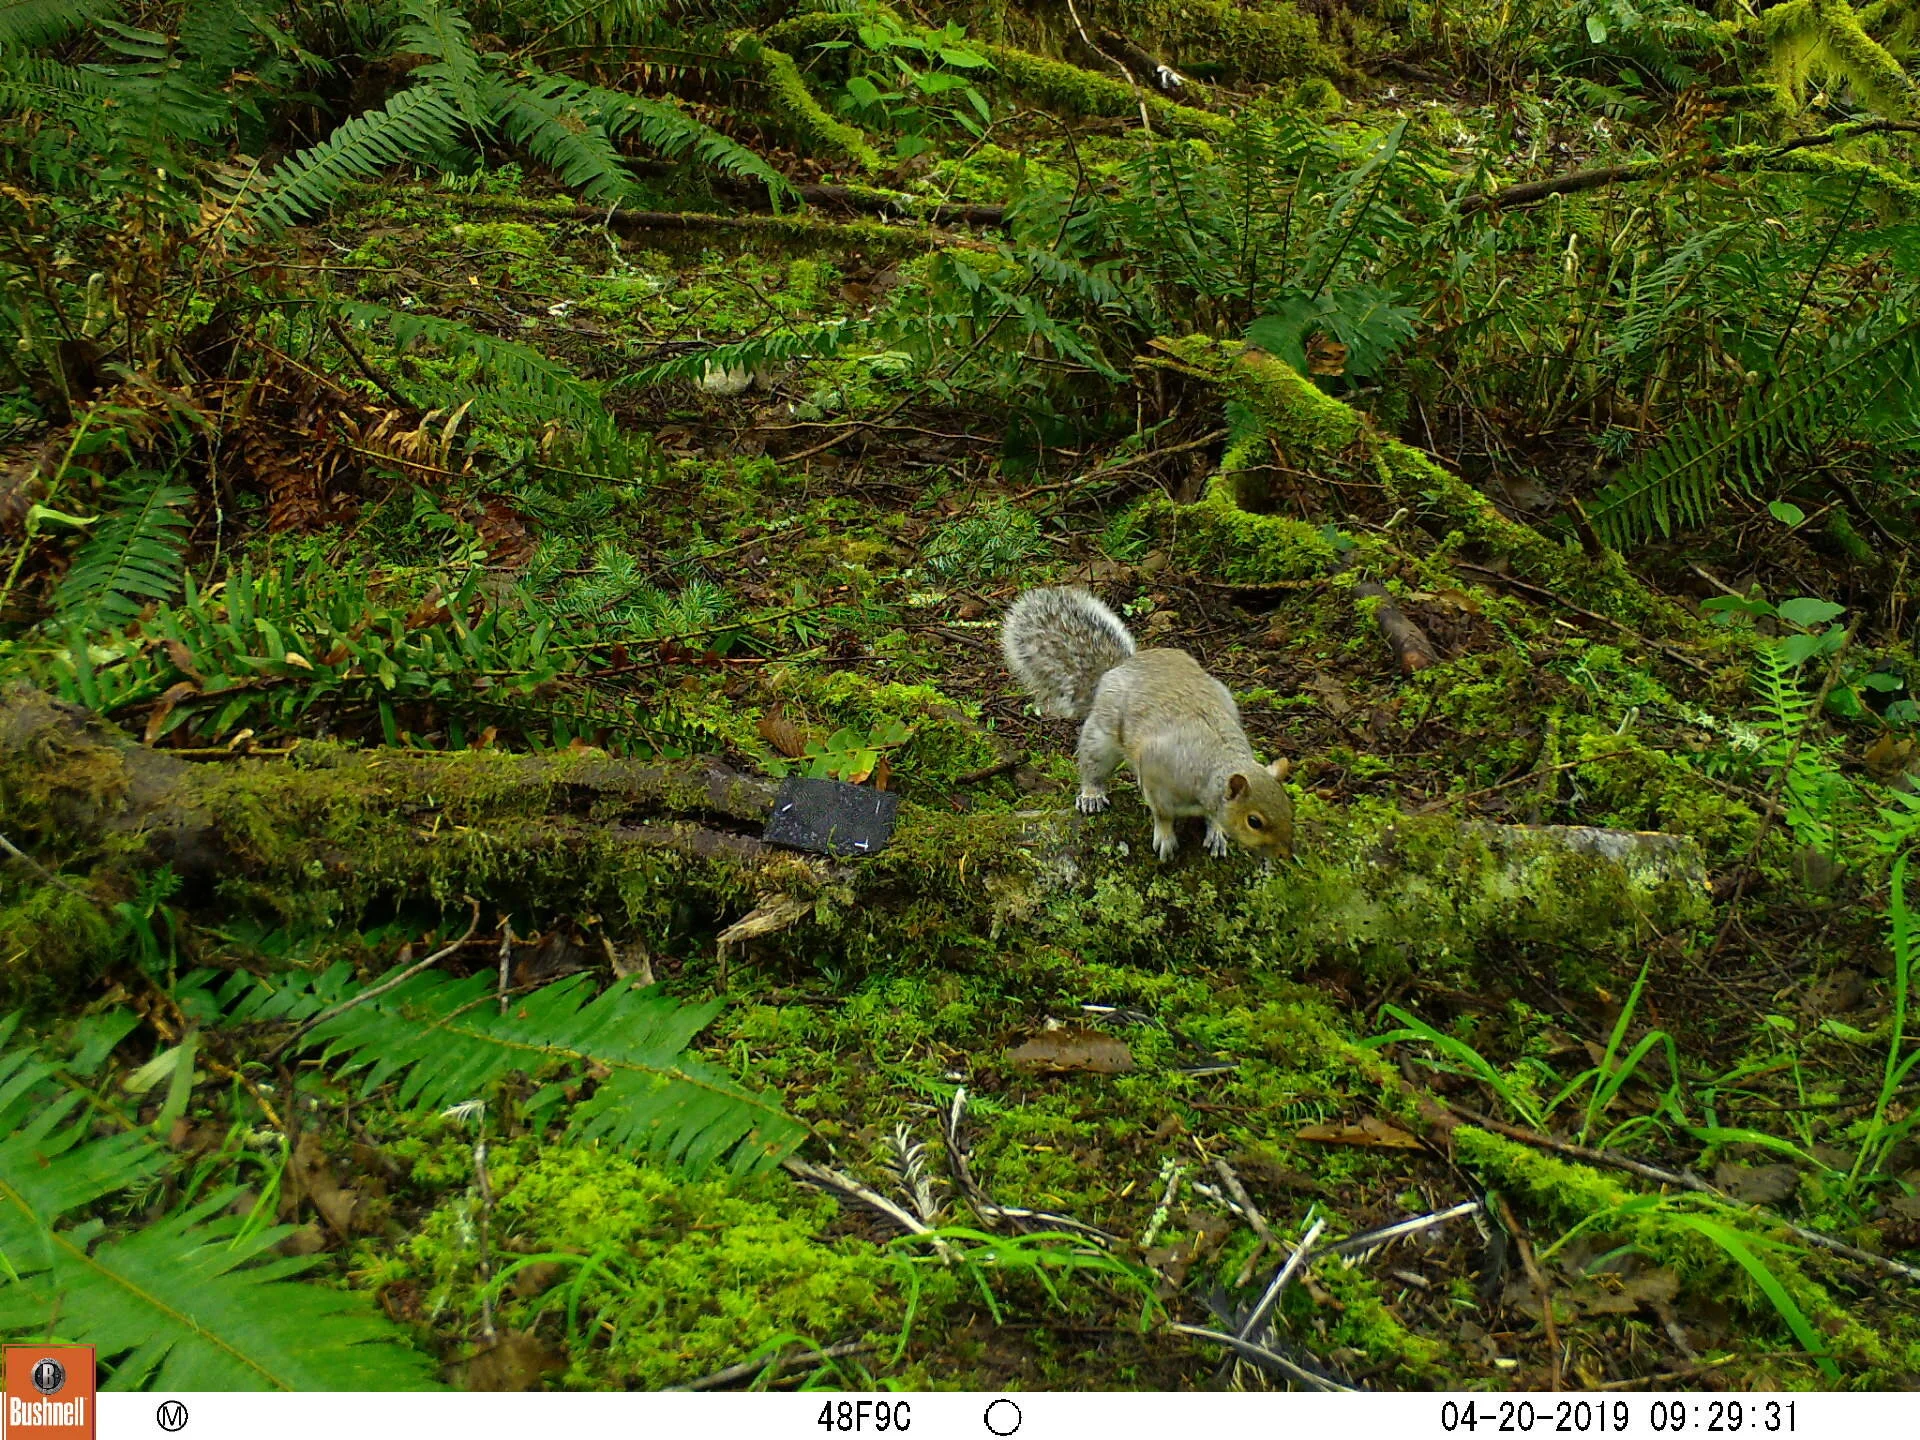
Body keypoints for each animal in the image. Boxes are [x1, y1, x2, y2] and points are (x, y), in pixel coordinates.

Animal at [1001, 587, 1294, 860]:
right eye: (1254, 821)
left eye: (1287, 805)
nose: (1285, 854)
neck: (1211, 766)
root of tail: (1117, 669)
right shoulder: (1155, 772)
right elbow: (1162, 812)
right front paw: (1165, 838)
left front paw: (1217, 833)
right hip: (1101, 737)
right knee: (1093, 765)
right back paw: (1092, 795)